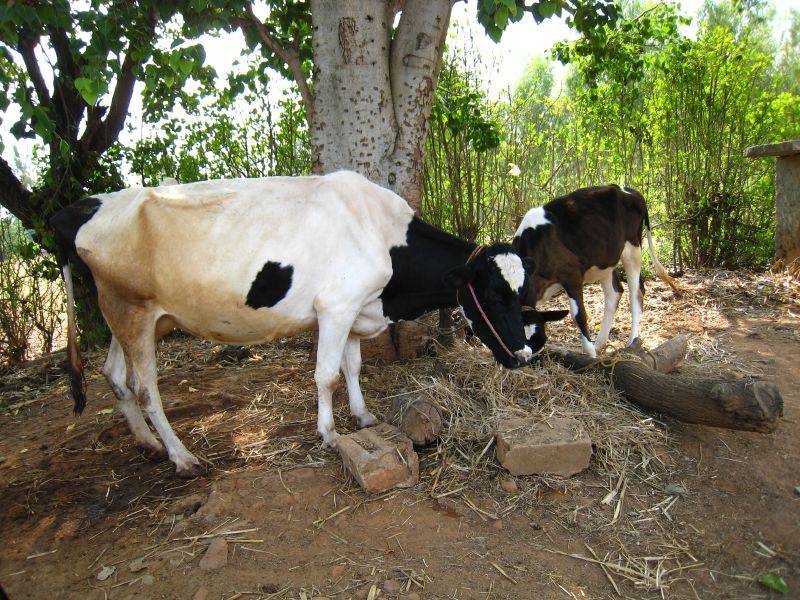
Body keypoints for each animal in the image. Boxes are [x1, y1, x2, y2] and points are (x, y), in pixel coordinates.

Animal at [53, 170, 536, 478]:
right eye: (494, 294)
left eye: (522, 290)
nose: (525, 354)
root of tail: (84, 206)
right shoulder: (336, 307)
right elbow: (326, 376)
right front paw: (329, 434)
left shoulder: (354, 308)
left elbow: (353, 368)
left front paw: (363, 416)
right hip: (131, 310)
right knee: (144, 388)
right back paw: (182, 458)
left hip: (132, 317)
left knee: (115, 376)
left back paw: (148, 444)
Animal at [512, 185, 680, 358]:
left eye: (535, 337)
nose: (523, 358)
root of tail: (627, 189)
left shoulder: (572, 275)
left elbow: (578, 315)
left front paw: (590, 353)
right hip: (606, 260)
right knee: (614, 294)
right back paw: (600, 344)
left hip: (632, 248)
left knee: (636, 294)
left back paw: (632, 341)